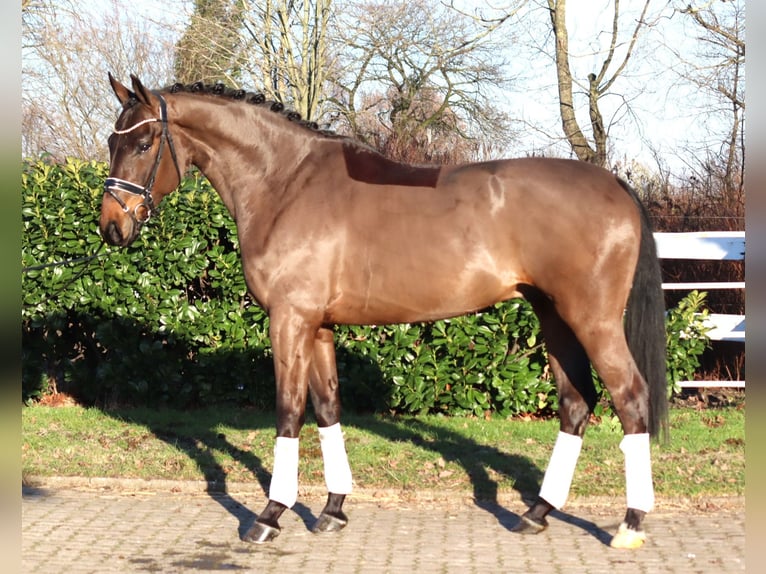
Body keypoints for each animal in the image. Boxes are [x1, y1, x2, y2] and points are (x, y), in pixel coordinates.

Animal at [100, 74, 668, 550]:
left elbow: (289, 412)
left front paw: (269, 515)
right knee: (576, 402)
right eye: (111, 142)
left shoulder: (289, 320)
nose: (111, 226)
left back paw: (630, 524)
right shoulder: (319, 327)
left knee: (629, 397)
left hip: (591, 319)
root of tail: (616, 185)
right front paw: (333, 509)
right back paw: (537, 512)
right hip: (554, 317)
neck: (285, 183)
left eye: (144, 145)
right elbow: (327, 408)